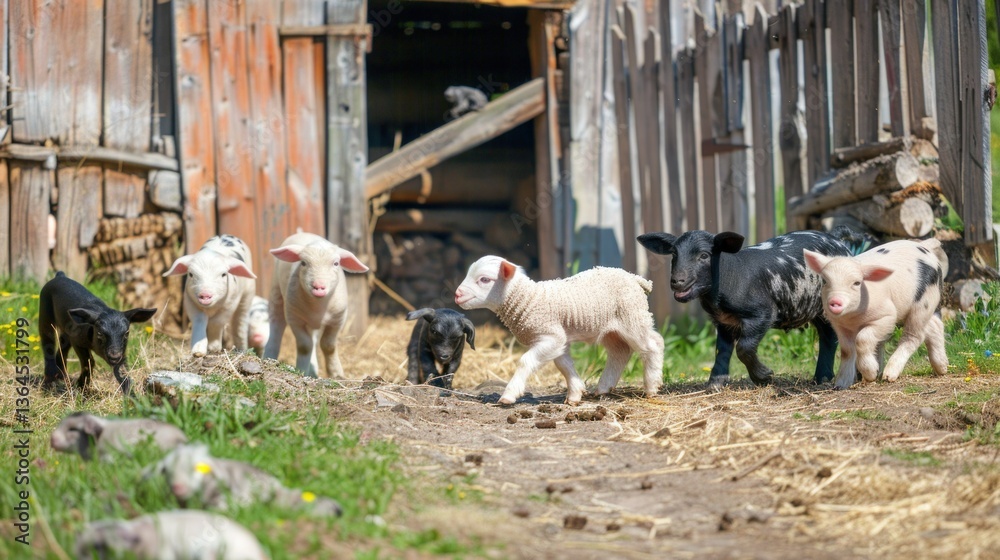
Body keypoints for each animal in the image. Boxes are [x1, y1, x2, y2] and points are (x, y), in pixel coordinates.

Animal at [264, 232, 369, 378]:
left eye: (336, 263)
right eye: (303, 263)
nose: (318, 286)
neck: (318, 307)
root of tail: (302, 232)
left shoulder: (338, 319)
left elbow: (328, 346)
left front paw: (336, 374)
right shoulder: (295, 319)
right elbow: (304, 346)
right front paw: (301, 370)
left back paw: (313, 371)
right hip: (276, 293)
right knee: (276, 328)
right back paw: (269, 356)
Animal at [454, 256, 664, 404]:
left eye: (484, 279)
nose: (457, 294)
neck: (528, 299)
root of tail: (634, 277)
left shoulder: (551, 335)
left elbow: (526, 361)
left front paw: (509, 394)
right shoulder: (558, 340)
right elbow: (564, 365)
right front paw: (575, 393)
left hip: (632, 318)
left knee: (653, 345)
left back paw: (652, 387)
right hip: (612, 328)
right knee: (620, 352)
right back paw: (604, 387)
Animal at [637, 229, 858, 389]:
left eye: (704, 255)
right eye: (674, 254)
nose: (677, 281)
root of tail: (838, 240)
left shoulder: (762, 313)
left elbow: (743, 348)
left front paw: (765, 377)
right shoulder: (723, 321)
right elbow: (721, 350)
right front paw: (715, 384)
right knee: (828, 336)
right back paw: (822, 378)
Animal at [804, 238, 949, 389]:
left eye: (856, 283)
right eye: (825, 281)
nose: (835, 301)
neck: (853, 319)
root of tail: (924, 246)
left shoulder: (886, 316)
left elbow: (862, 339)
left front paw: (870, 375)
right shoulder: (838, 325)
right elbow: (846, 350)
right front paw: (840, 385)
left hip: (924, 302)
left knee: (914, 336)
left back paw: (888, 376)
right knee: (935, 326)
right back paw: (942, 369)